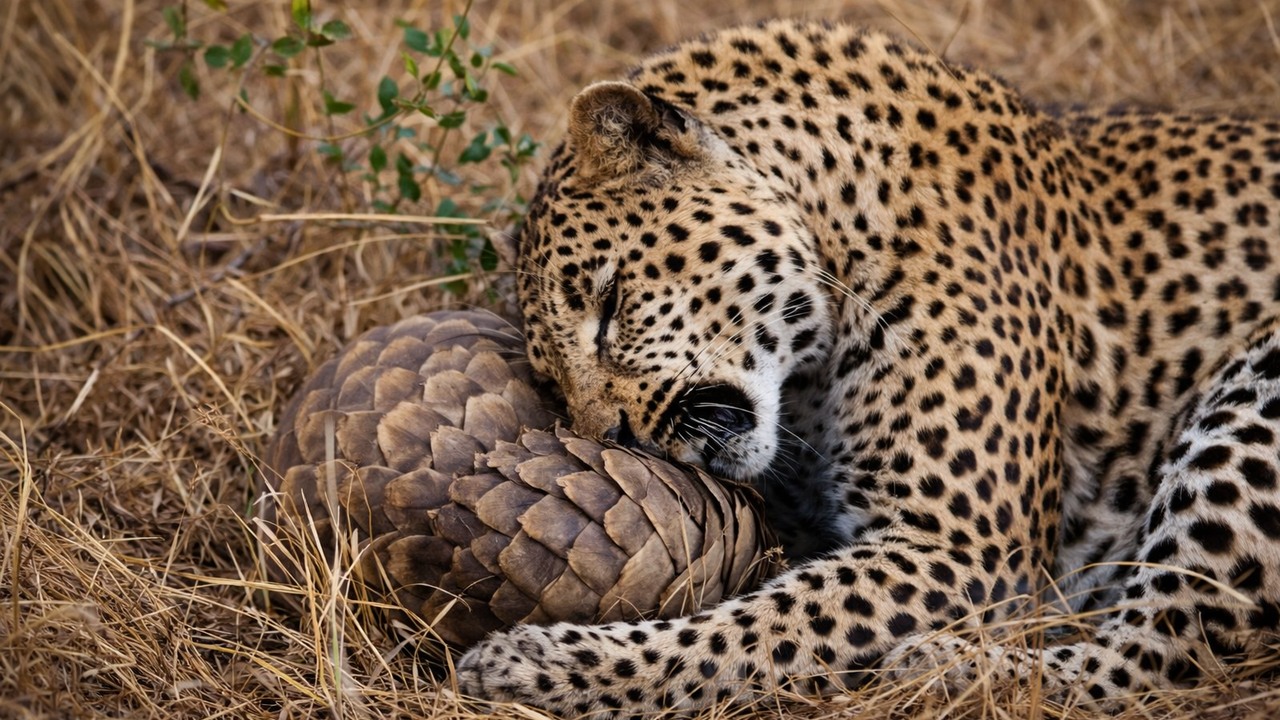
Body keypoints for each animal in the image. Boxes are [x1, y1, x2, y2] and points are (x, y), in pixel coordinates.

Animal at [457, 18, 1280, 715]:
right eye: (552, 384)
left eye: (609, 302)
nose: (617, 440)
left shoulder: (958, 547)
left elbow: (757, 630)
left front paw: (540, 666)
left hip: (1257, 391)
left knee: (1167, 646)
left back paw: (947, 667)